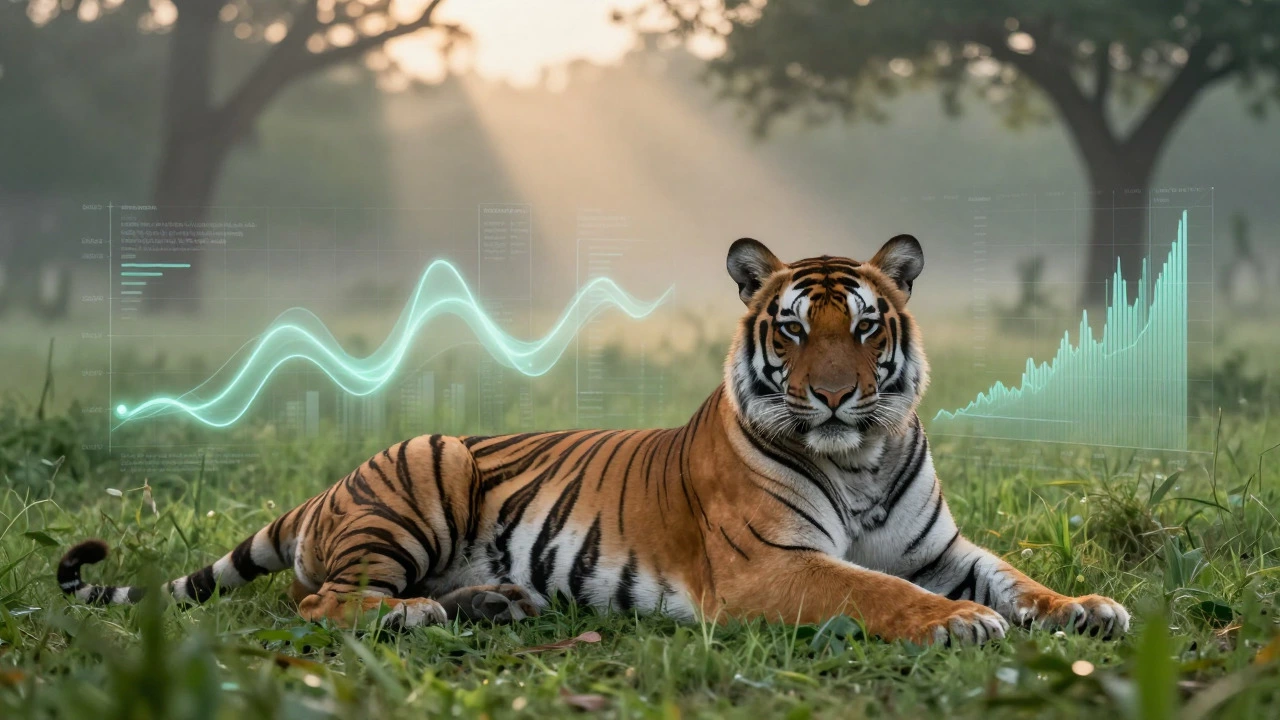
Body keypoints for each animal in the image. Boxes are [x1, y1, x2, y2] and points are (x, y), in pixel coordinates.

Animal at [57, 235, 1130, 644]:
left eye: (866, 328)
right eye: (792, 331)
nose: (834, 397)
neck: (857, 458)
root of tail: (324, 490)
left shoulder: (942, 547)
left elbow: (1015, 577)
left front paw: (1088, 608)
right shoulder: (770, 569)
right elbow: (875, 590)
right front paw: (958, 624)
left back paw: (492, 602)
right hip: (427, 467)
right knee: (319, 599)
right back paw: (421, 614)